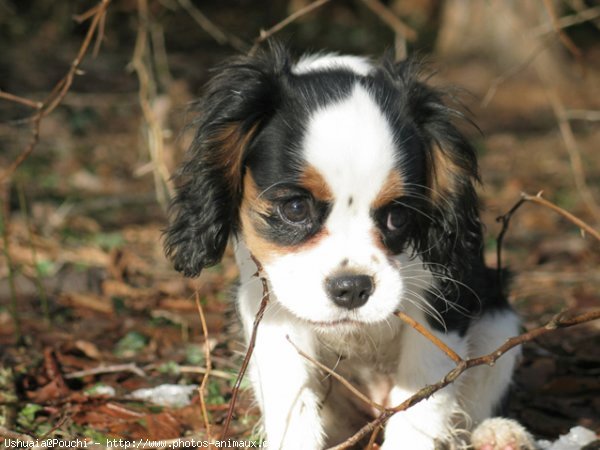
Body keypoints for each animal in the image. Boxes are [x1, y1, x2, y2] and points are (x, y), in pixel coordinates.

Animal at [165, 45, 536, 450]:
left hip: (501, 324)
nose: (352, 288)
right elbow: (290, 396)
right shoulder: (270, 302)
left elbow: (423, 398)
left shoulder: (441, 302)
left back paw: (499, 433)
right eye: (295, 208)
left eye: (397, 216)